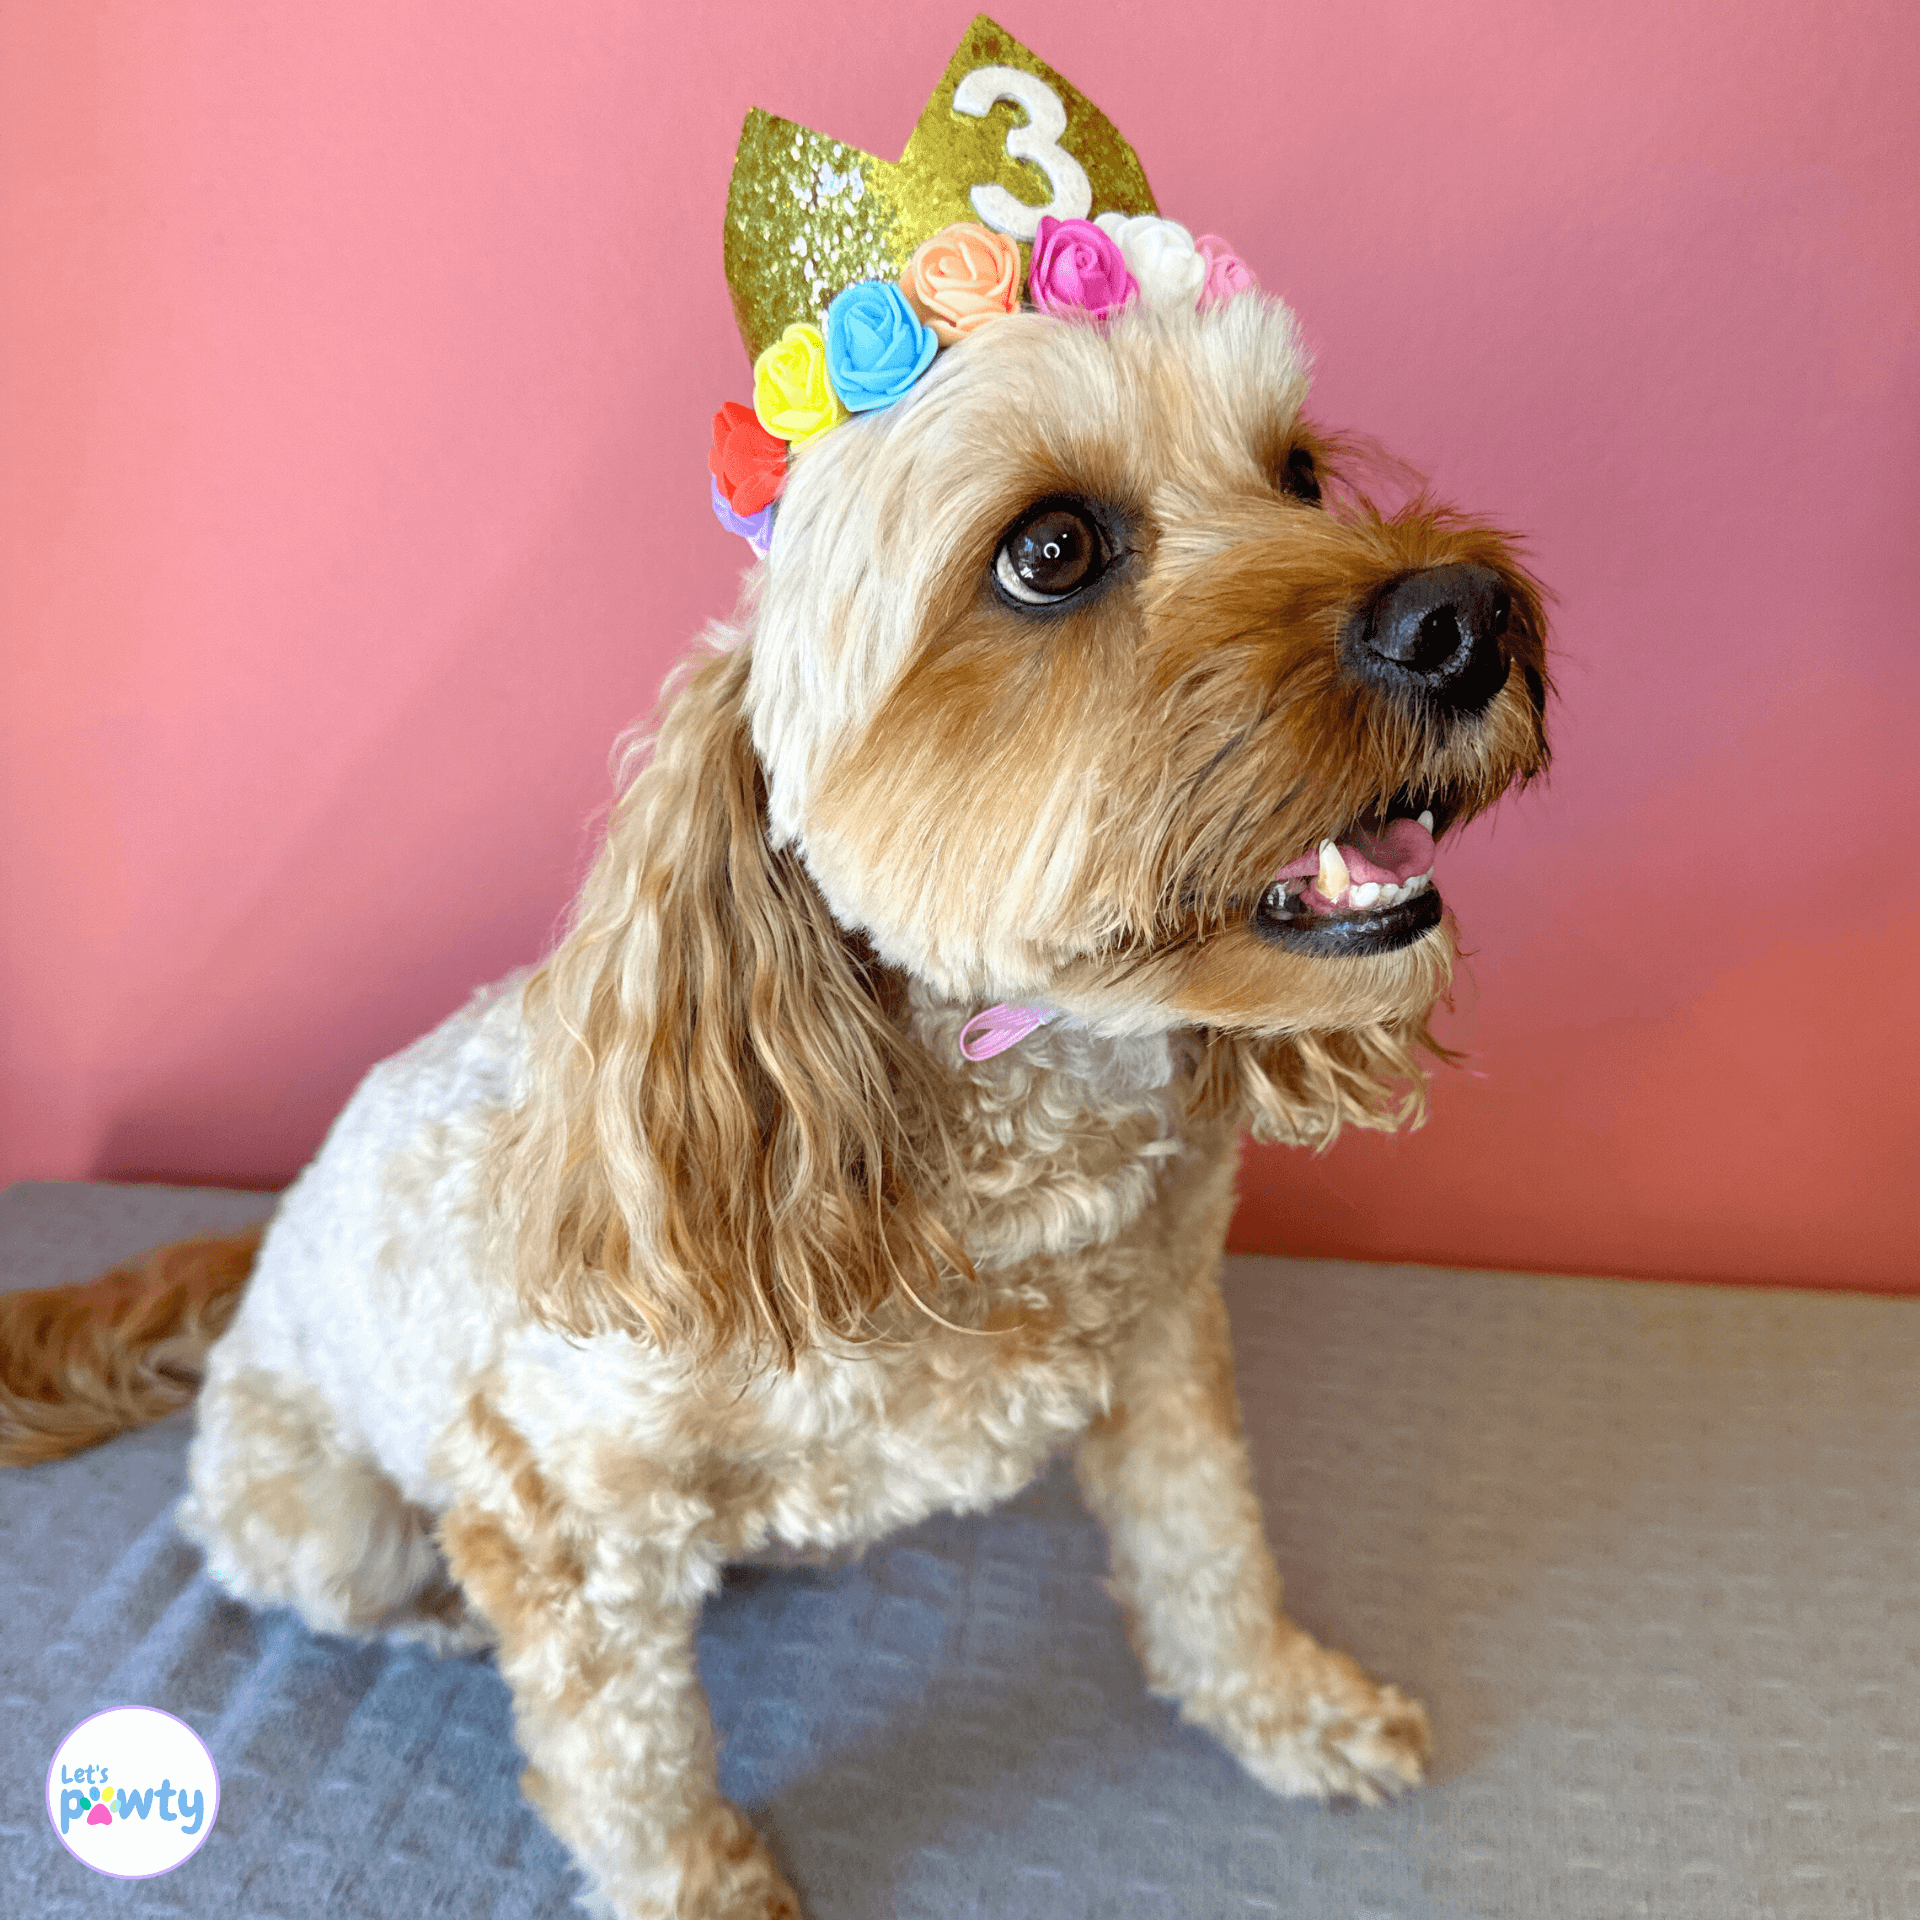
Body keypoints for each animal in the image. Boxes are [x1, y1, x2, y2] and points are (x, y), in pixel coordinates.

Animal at [0, 52, 1543, 1920]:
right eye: (1049, 550)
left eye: (1301, 470)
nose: (1466, 615)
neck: (1009, 1118)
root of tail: (247, 1264)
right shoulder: (559, 1498)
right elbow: (626, 1749)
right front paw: (700, 1883)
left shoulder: (1173, 1342)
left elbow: (1208, 1552)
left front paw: (1280, 1701)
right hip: (323, 1503)